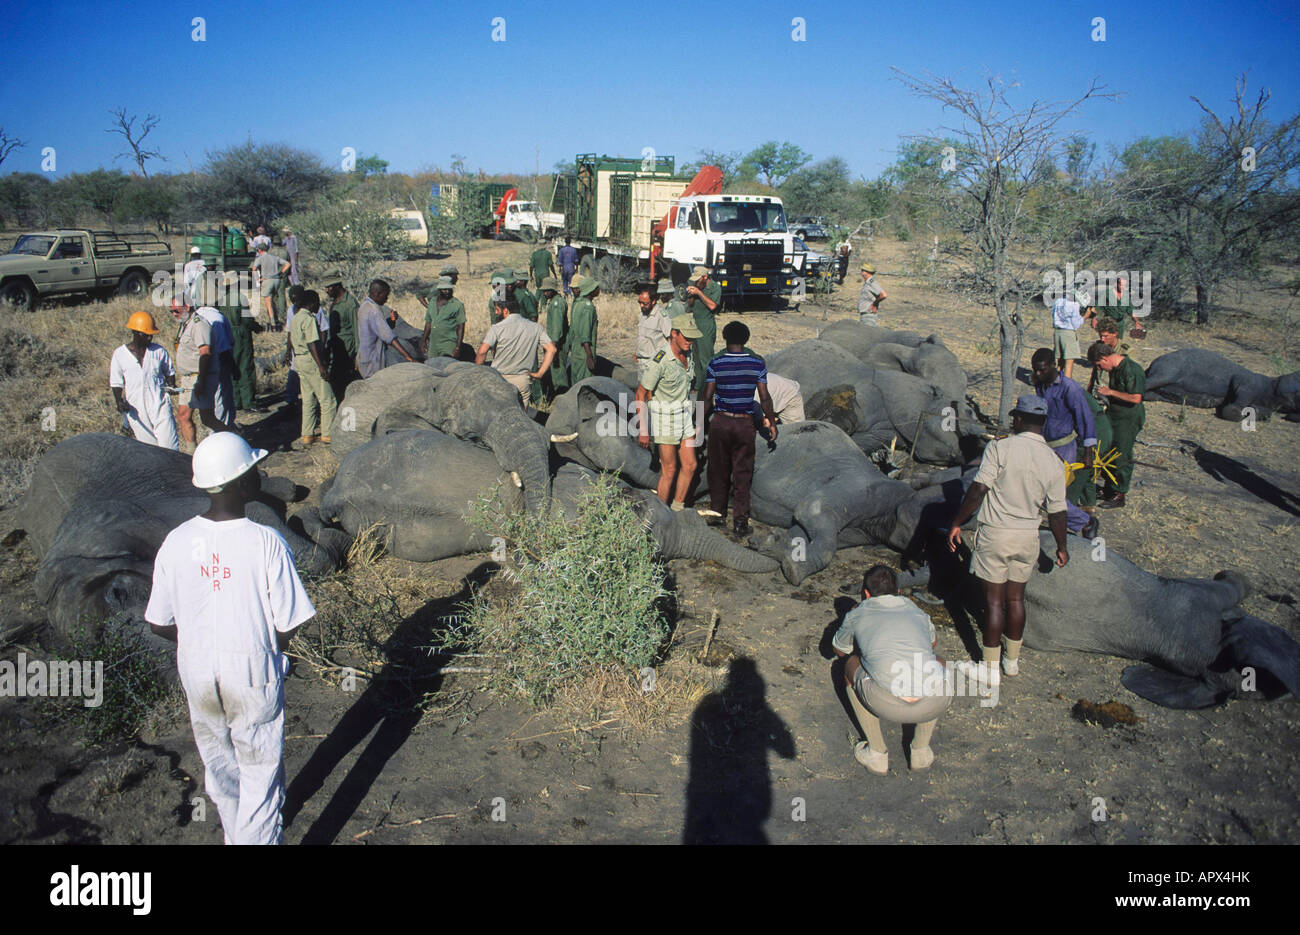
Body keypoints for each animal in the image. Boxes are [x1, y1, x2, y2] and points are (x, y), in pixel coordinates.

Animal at [1143, 349, 1300, 422]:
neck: (1270, 388)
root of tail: (1153, 364)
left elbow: (1266, 413)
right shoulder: (1246, 380)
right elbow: (1233, 408)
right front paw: (1238, 412)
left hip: (1160, 389)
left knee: (1149, 392)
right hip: (1167, 372)